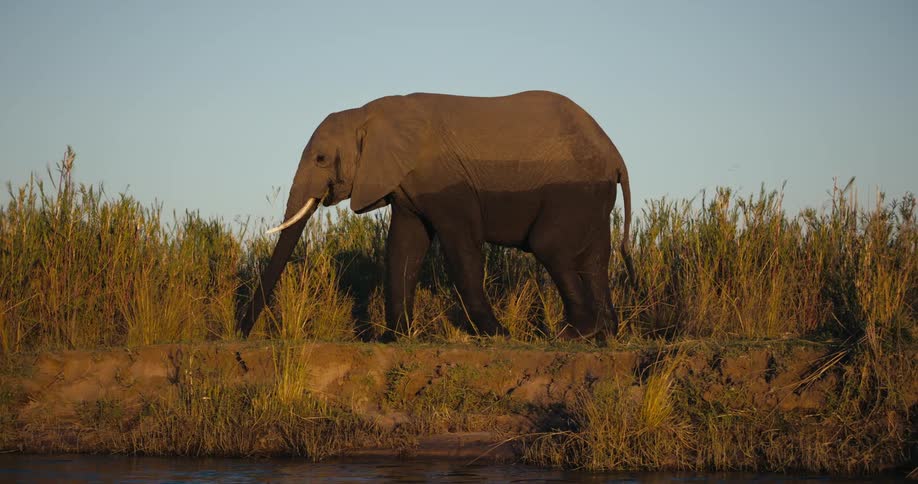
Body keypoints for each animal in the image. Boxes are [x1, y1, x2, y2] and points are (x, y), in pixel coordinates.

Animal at [237, 90, 634, 342]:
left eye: (320, 159)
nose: (241, 333)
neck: (368, 114)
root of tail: (617, 156)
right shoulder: (405, 183)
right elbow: (403, 248)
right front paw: (394, 340)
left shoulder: (445, 180)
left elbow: (461, 249)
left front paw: (498, 335)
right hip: (593, 196)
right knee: (596, 257)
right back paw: (605, 334)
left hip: (573, 189)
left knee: (550, 246)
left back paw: (576, 334)